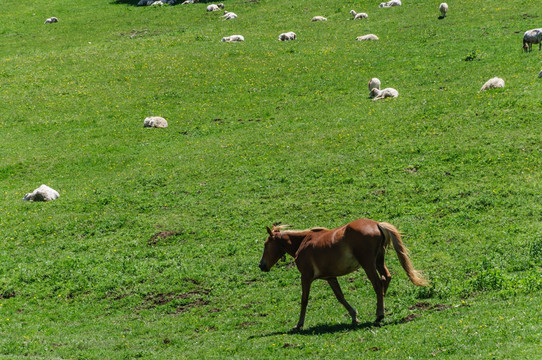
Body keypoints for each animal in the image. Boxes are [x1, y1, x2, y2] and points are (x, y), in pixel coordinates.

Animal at [260, 218, 430, 330]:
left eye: (266, 244)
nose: (261, 265)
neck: (303, 242)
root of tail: (376, 224)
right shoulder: (330, 277)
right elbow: (340, 297)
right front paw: (354, 315)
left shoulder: (306, 277)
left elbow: (304, 300)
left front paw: (299, 324)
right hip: (378, 261)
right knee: (386, 278)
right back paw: (381, 306)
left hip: (368, 264)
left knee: (377, 283)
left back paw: (379, 313)